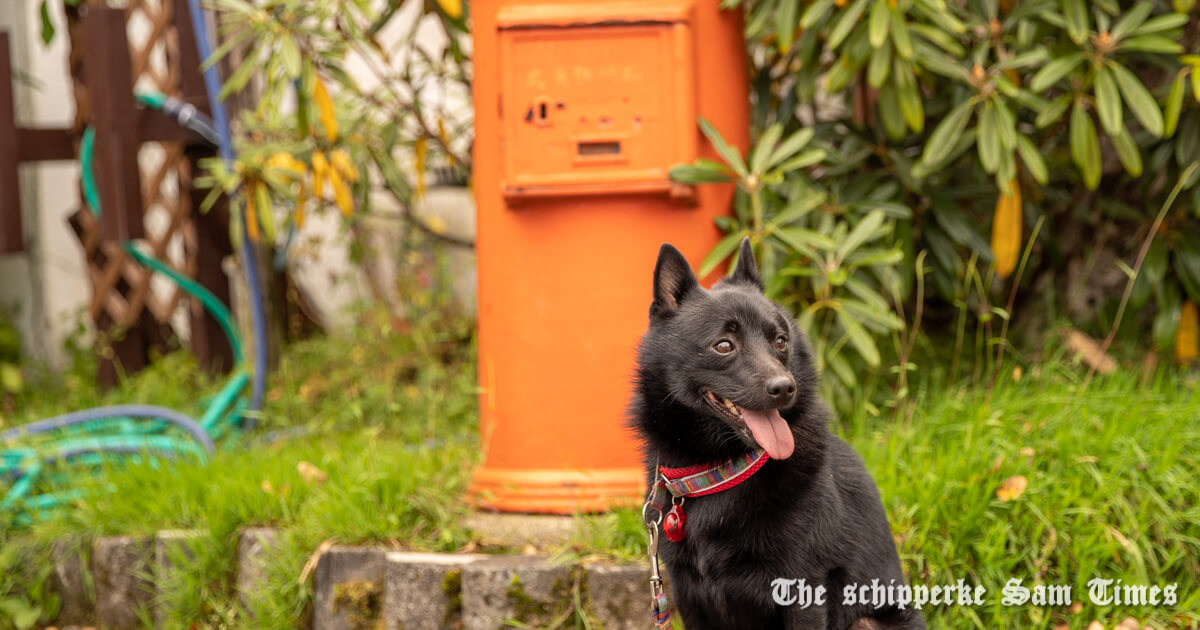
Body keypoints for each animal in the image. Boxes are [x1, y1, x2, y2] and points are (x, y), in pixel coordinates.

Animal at [633, 238, 921, 624]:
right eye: (723, 345)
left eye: (780, 341)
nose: (785, 388)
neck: (721, 473)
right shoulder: (688, 593)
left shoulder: (803, 592)